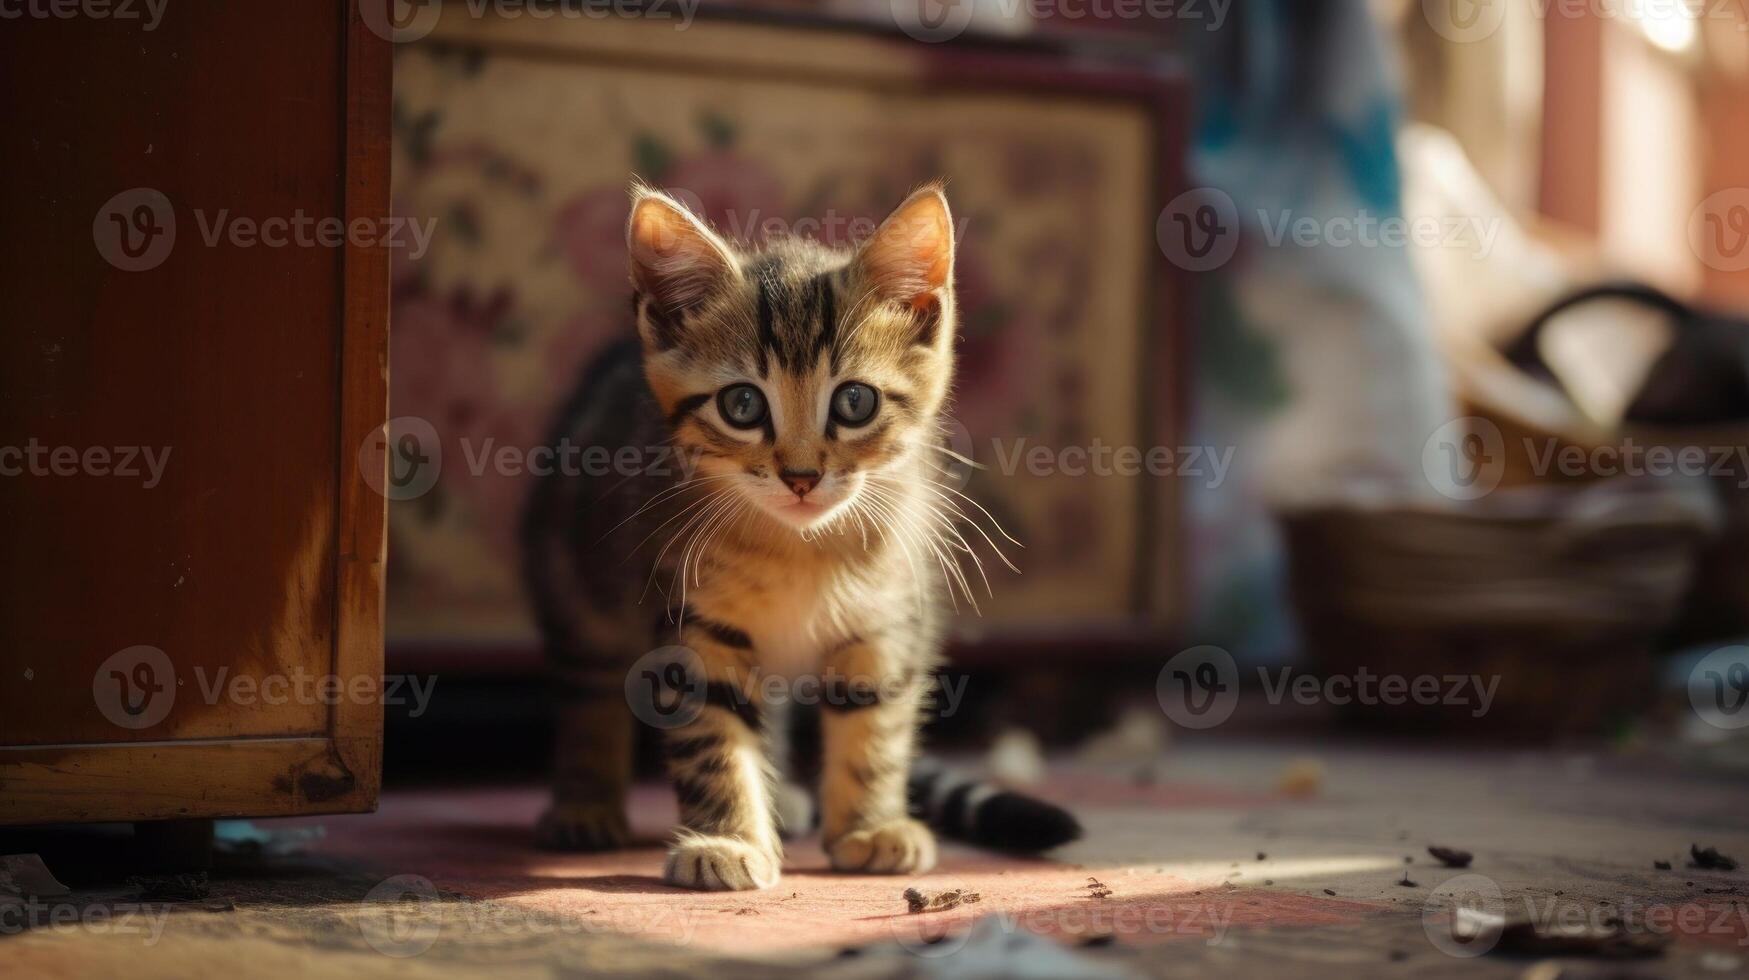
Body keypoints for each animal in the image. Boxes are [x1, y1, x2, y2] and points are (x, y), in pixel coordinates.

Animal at [514, 185, 1077, 896]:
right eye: (743, 406)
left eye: (856, 403)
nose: (802, 475)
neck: (802, 551)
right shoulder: (693, 620)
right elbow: (714, 736)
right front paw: (727, 839)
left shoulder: (887, 614)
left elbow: (876, 725)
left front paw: (868, 826)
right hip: (573, 580)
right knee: (589, 692)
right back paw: (585, 804)